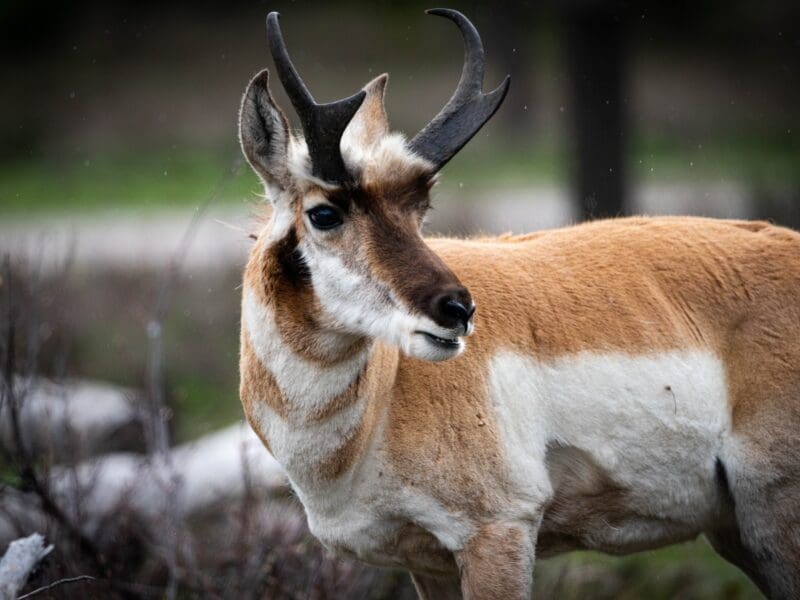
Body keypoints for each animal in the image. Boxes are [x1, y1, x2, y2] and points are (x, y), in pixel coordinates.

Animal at [237, 9, 800, 599]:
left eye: (420, 209)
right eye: (324, 213)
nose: (458, 310)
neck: (382, 402)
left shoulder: (497, 532)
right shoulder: (427, 563)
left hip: (775, 516)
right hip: (740, 534)